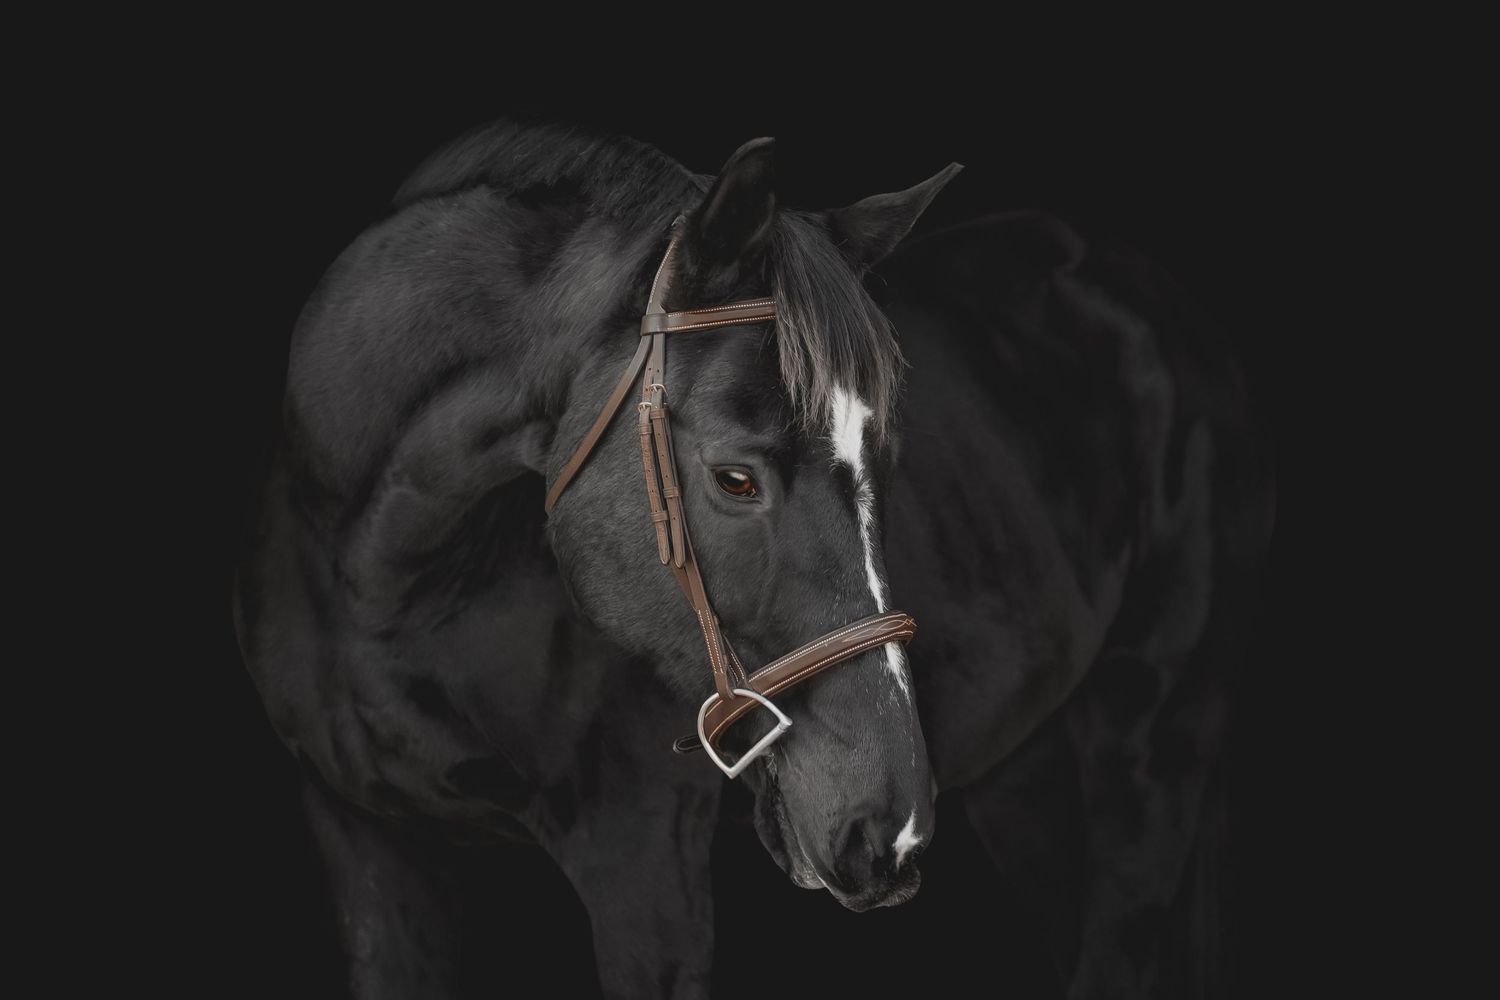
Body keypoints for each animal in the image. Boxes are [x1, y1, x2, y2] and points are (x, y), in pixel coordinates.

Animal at [234, 118, 1274, 999]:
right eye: (735, 480)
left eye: (888, 463)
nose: (891, 827)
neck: (386, 592)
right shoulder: (368, 849)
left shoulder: (640, 868)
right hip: (1026, 776)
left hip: (1156, 744)